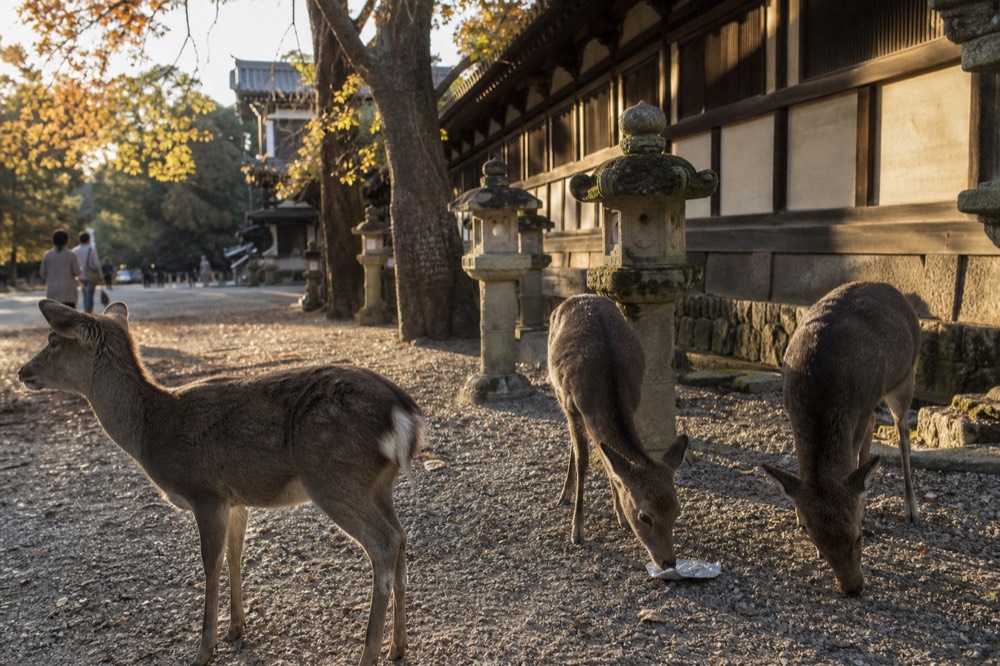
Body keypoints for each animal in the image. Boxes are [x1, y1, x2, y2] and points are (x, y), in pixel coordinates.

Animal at [17, 300, 423, 666]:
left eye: (53, 341)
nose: (22, 371)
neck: (151, 433)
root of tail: (404, 413)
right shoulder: (235, 498)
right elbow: (234, 556)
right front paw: (236, 629)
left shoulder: (205, 491)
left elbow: (209, 564)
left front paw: (204, 650)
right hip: (378, 484)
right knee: (402, 536)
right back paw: (398, 646)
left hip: (335, 476)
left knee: (384, 542)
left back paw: (368, 654)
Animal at [548, 294, 689, 570]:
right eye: (645, 516)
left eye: (677, 511)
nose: (669, 562)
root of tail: (577, 297)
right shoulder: (572, 406)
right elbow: (584, 462)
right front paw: (577, 531)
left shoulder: (634, 403)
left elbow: (610, 461)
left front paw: (620, 515)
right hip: (559, 394)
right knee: (573, 444)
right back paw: (564, 495)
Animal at [761, 281, 921, 596]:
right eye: (818, 543)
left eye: (858, 538)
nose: (853, 587)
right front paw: (799, 515)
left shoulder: (863, 404)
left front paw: (864, 506)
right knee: (876, 426)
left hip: (904, 378)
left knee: (902, 434)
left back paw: (910, 509)